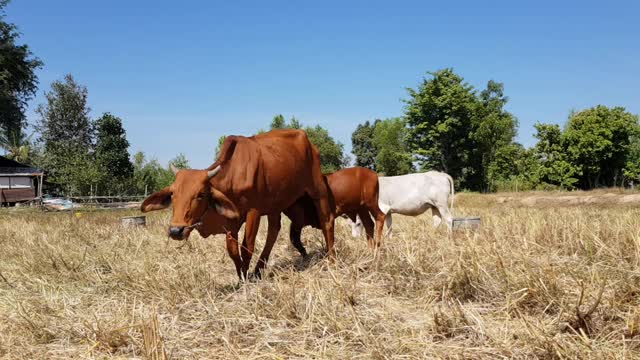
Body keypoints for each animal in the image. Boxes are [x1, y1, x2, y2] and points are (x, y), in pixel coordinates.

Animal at [139, 128, 336, 280]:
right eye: (173, 194)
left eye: (201, 194)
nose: (176, 230)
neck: (233, 175)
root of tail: (308, 140)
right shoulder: (231, 222)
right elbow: (233, 250)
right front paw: (241, 276)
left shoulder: (254, 212)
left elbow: (246, 247)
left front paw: (245, 279)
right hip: (275, 203)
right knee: (274, 231)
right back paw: (258, 270)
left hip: (318, 189)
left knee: (326, 221)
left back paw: (332, 258)